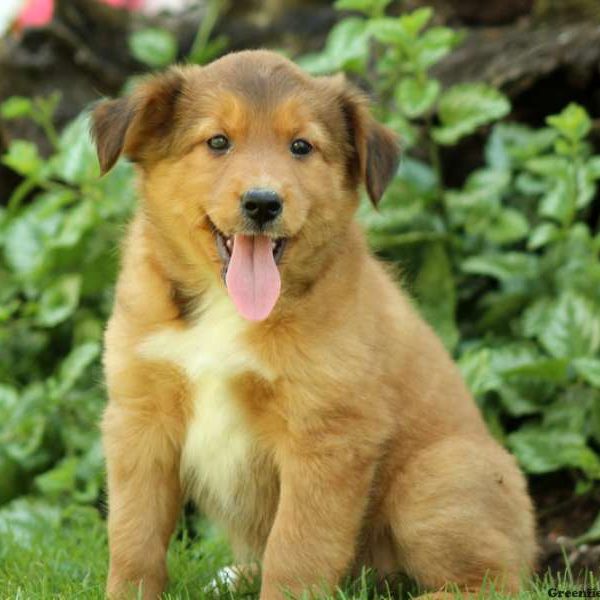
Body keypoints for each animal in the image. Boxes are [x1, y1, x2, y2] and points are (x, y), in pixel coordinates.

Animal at [92, 49, 536, 596]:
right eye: (217, 141)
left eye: (301, 146)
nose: (263, 203)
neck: (226, 309)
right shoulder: (140, 418)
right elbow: (134, 535)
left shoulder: (327, 434)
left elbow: (297, 547)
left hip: (433, 481)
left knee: (496, 579)